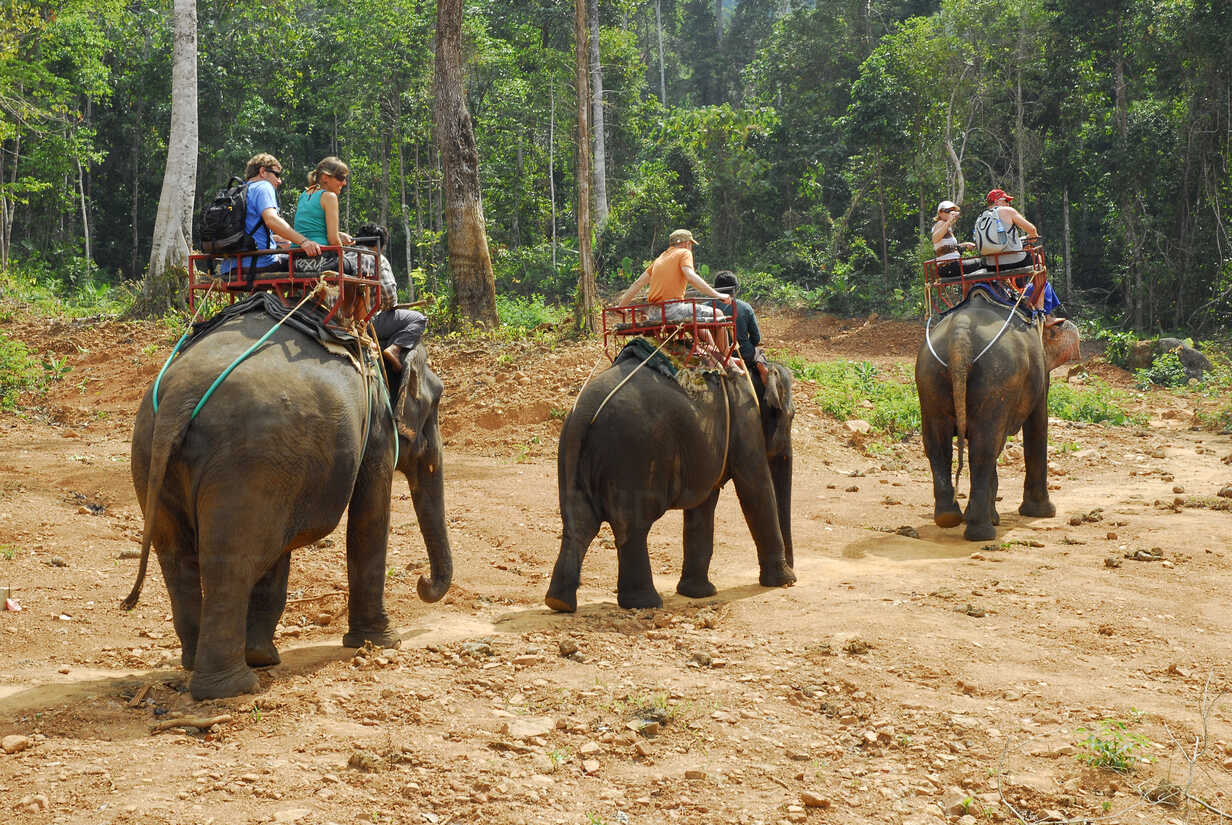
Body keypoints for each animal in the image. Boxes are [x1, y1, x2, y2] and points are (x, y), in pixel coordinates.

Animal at [127, 306, 453, 699]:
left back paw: (199, 664)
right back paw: (230, 688)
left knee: (179, 557)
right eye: (436, 403)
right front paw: (382, 642)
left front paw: (262, 656)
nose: (422, 581)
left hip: (153, 456)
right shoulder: (375, 427)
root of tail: (179, 398)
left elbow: (278, 555)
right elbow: (370, 515)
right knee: (230, 563)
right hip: (247, 464)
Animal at [544, 359, 793, 618]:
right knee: (631, 527)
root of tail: (583, 416)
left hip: (572, 456)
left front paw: (698, 593)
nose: (792, 567)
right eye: (791, 416)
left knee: (579, 524)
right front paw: (784, 581)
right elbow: (754, 487)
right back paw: (646, 603)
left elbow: (703, 503)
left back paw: (559, 603)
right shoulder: (746, 422)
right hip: (632, 458)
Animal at [916, 288, 1079, 546]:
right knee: (984, 448)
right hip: (996, 376)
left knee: (938, 445)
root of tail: (960, 333)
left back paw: (949, 518)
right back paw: (981, 532)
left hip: (929, 375)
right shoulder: (1039, 374)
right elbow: (1037, 422)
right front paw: (1043, 513)